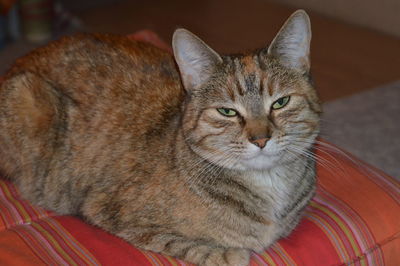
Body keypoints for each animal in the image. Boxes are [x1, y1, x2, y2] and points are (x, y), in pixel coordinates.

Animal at [0, 9, 320, 264]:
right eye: (227, 111)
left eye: (280, 103)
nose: (261, 139)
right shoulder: (110, 211)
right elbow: (190, 244)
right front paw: (228, 253)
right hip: (30, 98)